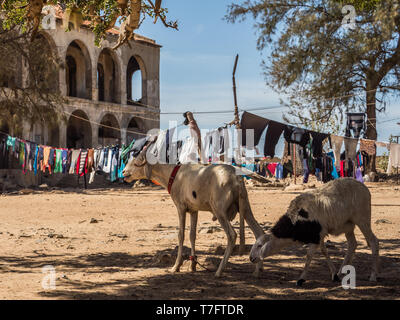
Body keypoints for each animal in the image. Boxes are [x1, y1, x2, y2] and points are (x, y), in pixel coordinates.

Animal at [122, 140, 266, 278]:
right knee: (259, 232)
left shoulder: (181, 207)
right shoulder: (193, 210)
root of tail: (237, 177)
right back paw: (257, 270)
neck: (174, 174)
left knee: (232, 235)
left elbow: (181, 235)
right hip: (245, 207)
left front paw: (176, 266)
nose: (123, 172)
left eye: (136, 162)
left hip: (219, 210)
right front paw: (192, 264)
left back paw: (219, 271)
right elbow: (192, 235)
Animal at [250, 178, 378, 284]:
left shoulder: (317, 236)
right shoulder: (319, 235)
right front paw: (334, 274)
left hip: (362, 220)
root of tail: (364, 187)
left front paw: (301, 279)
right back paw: (342, 272)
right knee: (352, 244)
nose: (251, 258)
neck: (296, 218)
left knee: (373, 242)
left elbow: (309, 256)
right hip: (348, 225)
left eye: (260, 245)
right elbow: (324, 251)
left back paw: (373, 275)